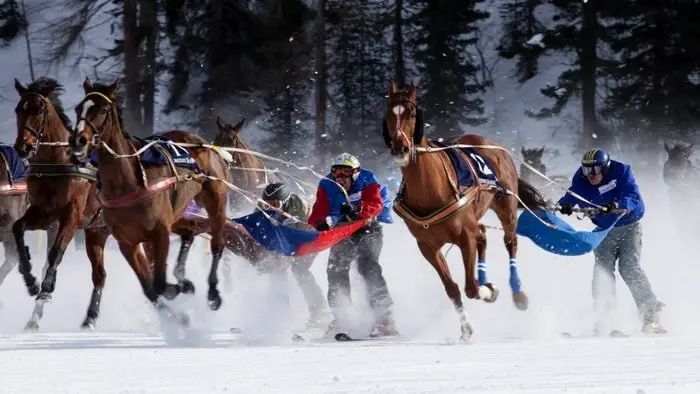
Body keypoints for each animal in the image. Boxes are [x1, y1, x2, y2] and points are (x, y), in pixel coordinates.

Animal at [12, 75, 110, 330]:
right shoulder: (44, 213)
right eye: (18, 109)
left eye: (39, 109)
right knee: (100, 275)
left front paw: (46, 288)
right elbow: (18, 227)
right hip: (96, 231)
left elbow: (55, 253)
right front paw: (30, 279)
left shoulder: (71, 214)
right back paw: (89, 317)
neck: (58, 163)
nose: (23, 147)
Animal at [70, 77, 231, 318]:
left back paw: (213, 292)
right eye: (79, 108)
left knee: (217, 244)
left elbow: (159, 284)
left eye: (103, 109)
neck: (127, 183)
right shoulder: (127, 242)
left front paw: (179, 289)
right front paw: (180, 296)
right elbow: (150, 288)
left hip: (215, 201)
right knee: (190, 230)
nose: (78, 140)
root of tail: (205, 144)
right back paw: (183, 276)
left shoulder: (159, 232)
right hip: (177, 212)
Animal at [380, 81, 548, 340]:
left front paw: (489, 290)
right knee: (483, 235)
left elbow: (471, 288)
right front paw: (466, 328)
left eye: (411, 114)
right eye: (389, 114)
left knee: (510, 242)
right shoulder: (427, 246)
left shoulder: (464, 237)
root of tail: (490, 143)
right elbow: (452, 288)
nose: (400, 148)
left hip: (506, 207)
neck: (430, 188)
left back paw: (518, 294)